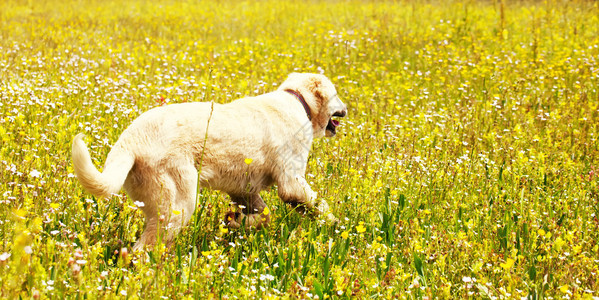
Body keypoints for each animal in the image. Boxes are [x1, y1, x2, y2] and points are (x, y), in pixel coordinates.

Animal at [72, 73, 350, 251]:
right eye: (336, 95)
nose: (347, 109)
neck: (298, 101)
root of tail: (131, 138)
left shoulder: (244, 190)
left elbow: (264, 215)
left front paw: (236, 222)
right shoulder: (292, 184)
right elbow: (321, 206)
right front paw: (337, 227)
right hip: (179, 205)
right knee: (142, 251)